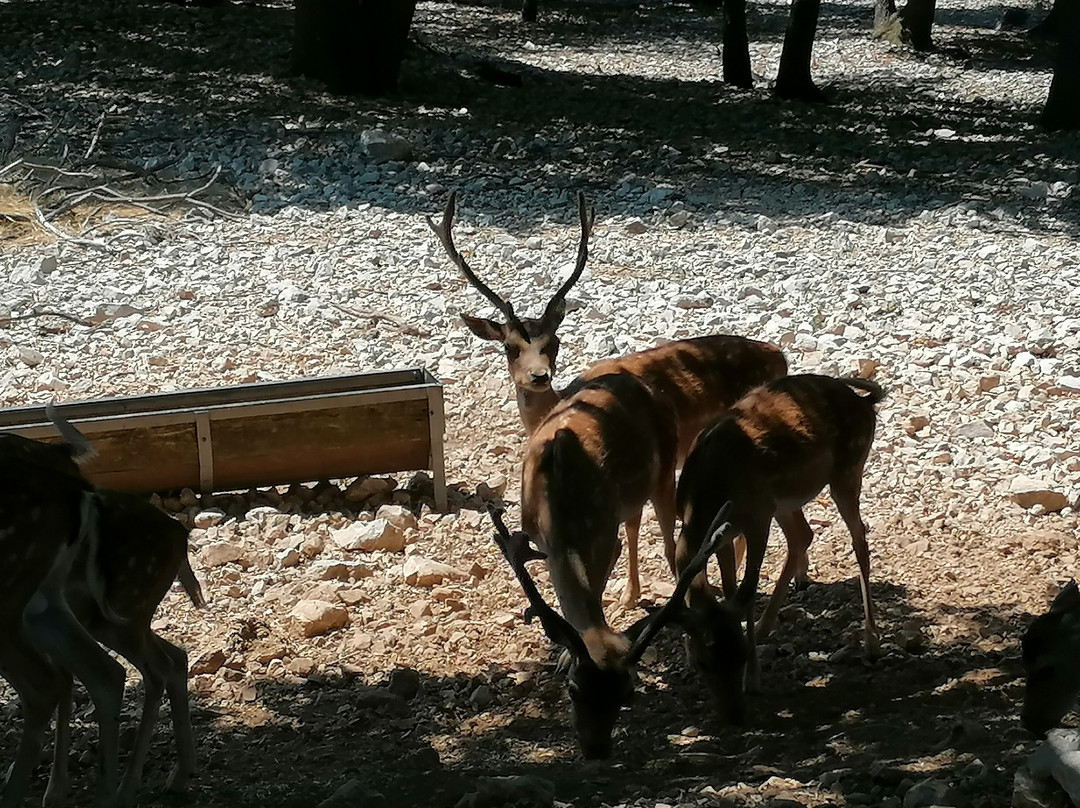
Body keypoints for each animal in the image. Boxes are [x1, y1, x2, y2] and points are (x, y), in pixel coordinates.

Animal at [425, 191, 790, 604]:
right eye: (509, 347)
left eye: (554, 342)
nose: (539, 376)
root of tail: (780, 355)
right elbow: (632, 524)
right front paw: (630, 594)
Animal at [673, 371, 885, 721]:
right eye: (702, 662)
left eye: (739, 656)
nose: (733, 715)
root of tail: (866, 403)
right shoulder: (724, 534)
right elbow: (730, 590)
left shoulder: (757, 519)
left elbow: (745, 592)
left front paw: (754, 680)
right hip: (786, 501)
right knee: (803, 535)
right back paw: (764, 628)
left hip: (847, 471)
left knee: (859, 537)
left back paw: (871, 643)